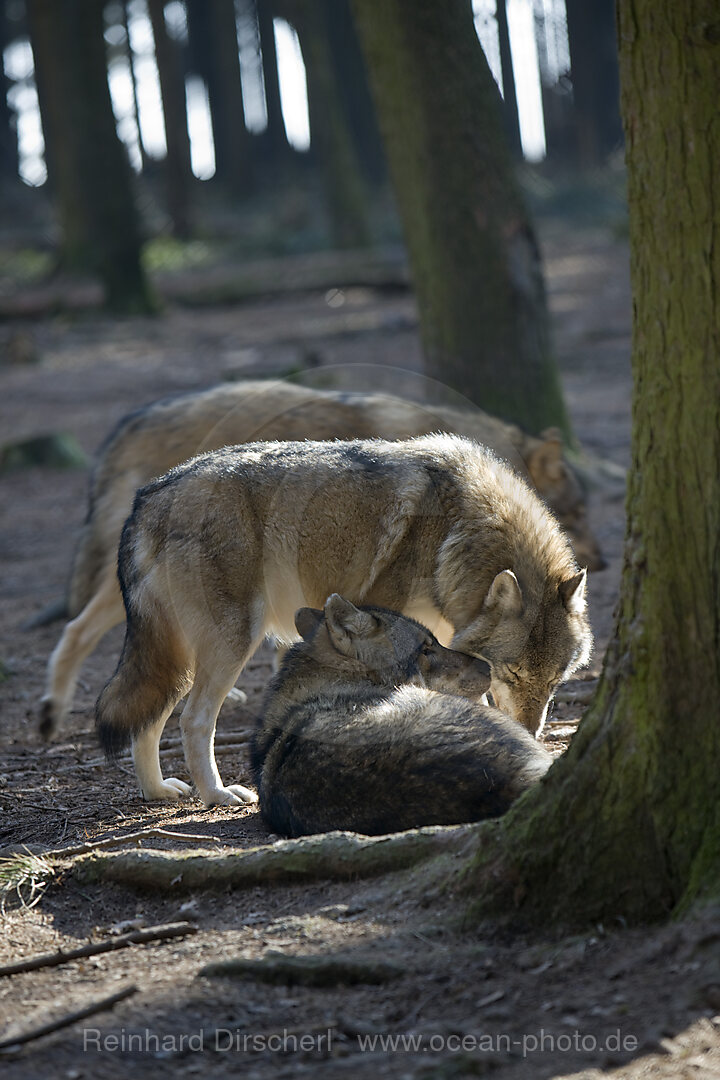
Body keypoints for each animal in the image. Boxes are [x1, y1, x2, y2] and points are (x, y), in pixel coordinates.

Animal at [95, 434, 591, 807]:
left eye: (555, 682)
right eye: (514, 673)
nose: (531, 733)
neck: (454, 533)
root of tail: (149, 496)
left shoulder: (447, 638)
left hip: (178, 657)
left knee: (148, 720)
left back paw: (158, 791)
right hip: (232, 644)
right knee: (193, 720)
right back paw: (217, 794)